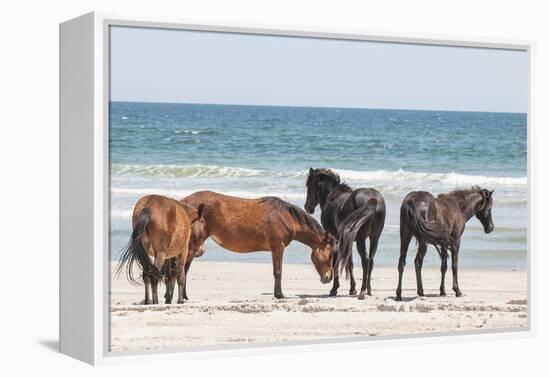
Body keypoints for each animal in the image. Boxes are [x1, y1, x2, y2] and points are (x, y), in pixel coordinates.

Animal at [181, 191, 336, 296]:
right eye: (330, 255)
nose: (328, 278)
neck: (286, 217)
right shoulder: (278, 247)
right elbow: (278, 271)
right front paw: (279, 295)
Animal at [306, 169, 388, 298]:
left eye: (308, 184)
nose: (307, 207)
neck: (331, 197)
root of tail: (374, 200)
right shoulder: (348, 239)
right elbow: (349, 263)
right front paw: (352, 288)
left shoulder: (335, 238)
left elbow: (336, 260)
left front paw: (334, 289)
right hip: (374, 238)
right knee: (371, 260)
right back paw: (369, 290)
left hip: (361, 239)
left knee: (366, 260)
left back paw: (362, 291)